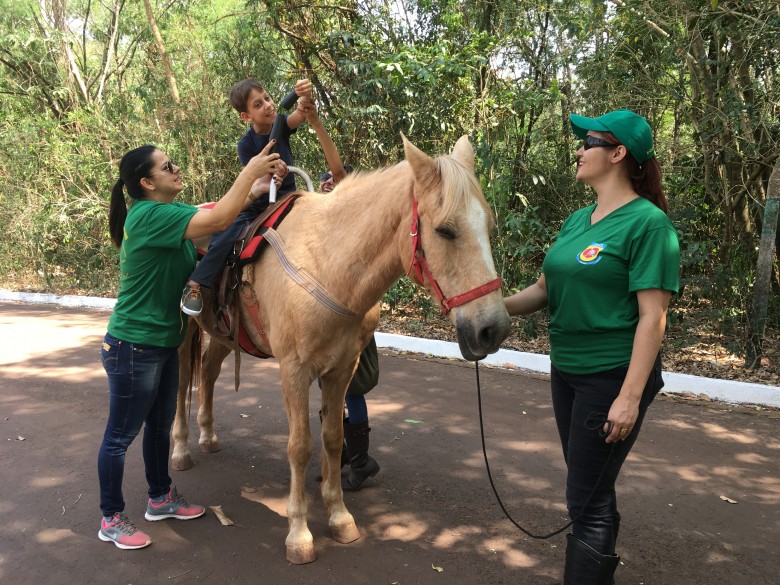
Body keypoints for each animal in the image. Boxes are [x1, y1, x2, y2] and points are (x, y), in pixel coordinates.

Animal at [171, 135, 512, 564]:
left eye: (489, 226)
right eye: (445, 231)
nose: (492, 329)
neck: (328, 266)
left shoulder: (342, 369)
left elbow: (333, 438)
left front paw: (338, 516)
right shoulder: (294, 370)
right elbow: (300, 447)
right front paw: (298, 534)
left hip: (221, 335)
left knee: (210, 373)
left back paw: (208, 435)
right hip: (184, 331)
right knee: (182, 382)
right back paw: (181, 449)